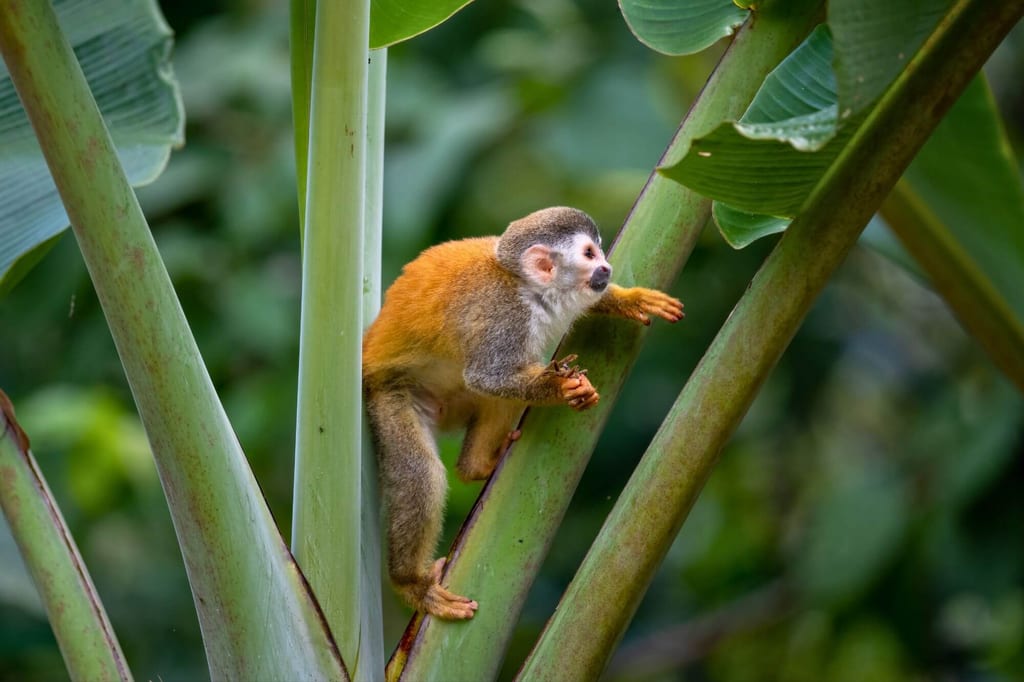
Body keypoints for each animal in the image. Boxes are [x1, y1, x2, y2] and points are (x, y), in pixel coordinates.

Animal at [362, 206, 684, 620]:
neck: (528, 288)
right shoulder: (506, 319)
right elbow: (488, 376)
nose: (607, 268)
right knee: (422, 471)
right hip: (389, 395)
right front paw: (562, 388)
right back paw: (412, 585)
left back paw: (476, 466)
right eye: (589, 254)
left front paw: (630, 298)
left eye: (600, 251)